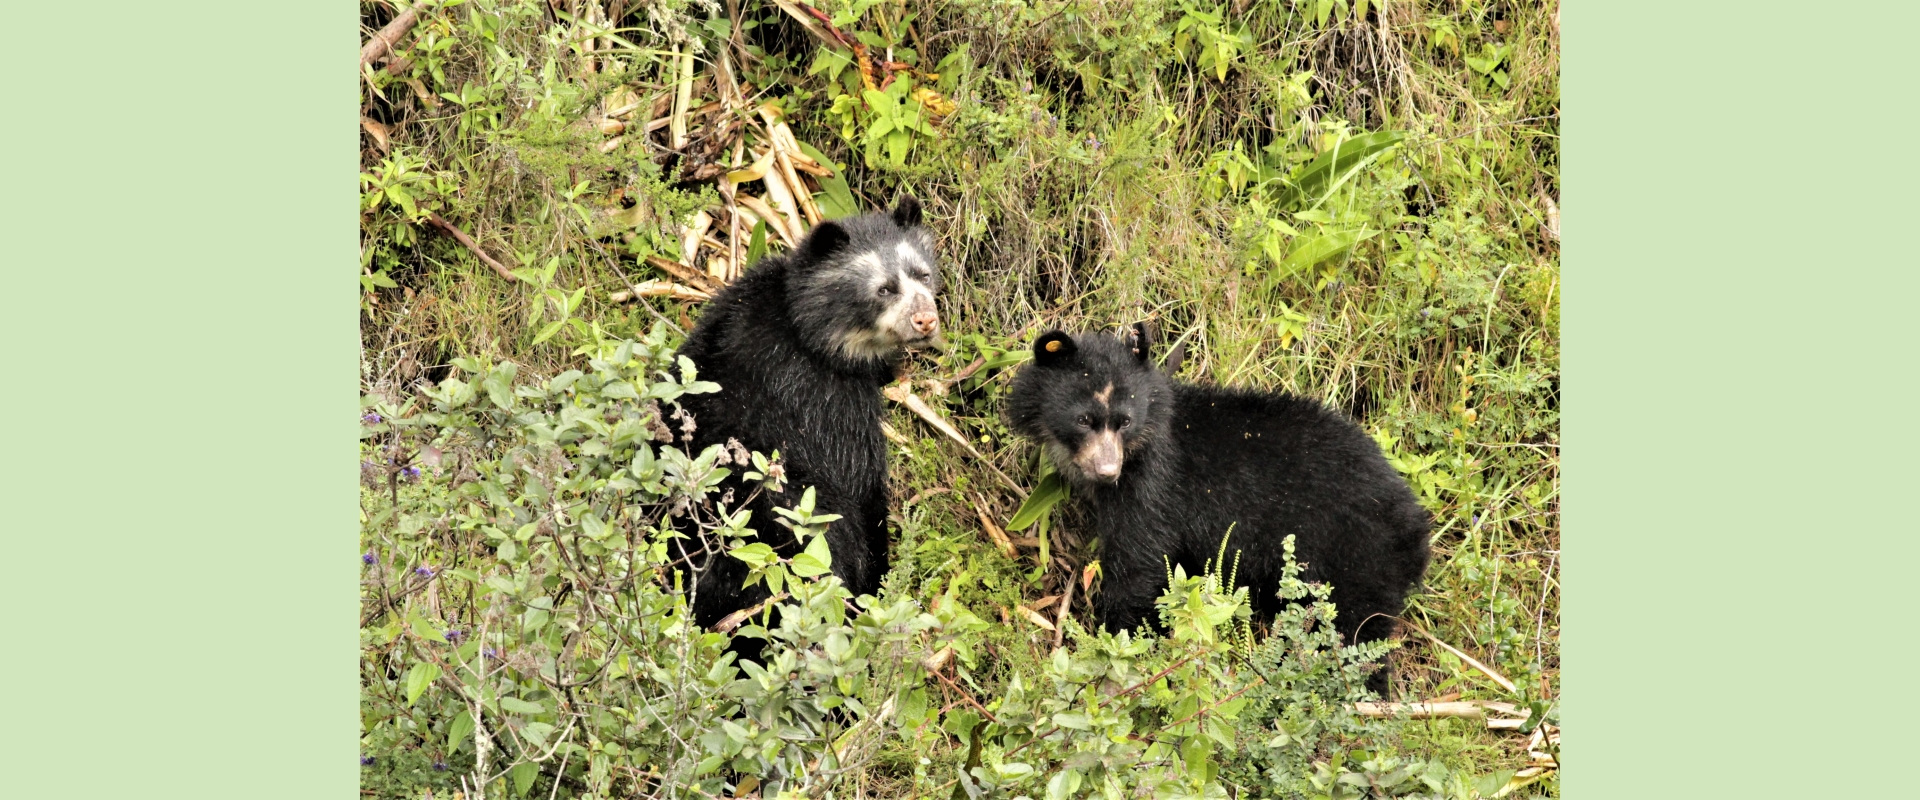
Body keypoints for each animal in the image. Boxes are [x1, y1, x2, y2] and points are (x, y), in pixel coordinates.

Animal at [675, 196, 944, 652]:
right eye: (884, 289)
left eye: (924, 274)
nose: (925, 319)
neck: (812, 333)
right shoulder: (827, 402)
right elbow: (863, 483)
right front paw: (880, 583)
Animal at [1006, 320, 1428, 690]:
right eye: (1083, 419)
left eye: (1124, 421)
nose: (1108, 470)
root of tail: (1416, 528)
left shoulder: (1154, 484)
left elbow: (1140, 561)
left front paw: (1113, 645)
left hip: (1353, 557)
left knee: (1356, 632)